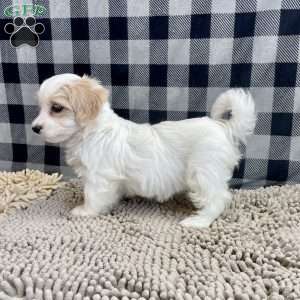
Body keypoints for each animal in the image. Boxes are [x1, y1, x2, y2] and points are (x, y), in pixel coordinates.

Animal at [31, 74, 255, 229]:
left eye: (56, 108)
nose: (35, 128)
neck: (91, 131)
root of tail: (223, 127)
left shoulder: (98, 177)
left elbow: (92, 195)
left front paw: (85, 211)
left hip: (203, 173)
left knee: (218, 199)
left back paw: (198, 221)